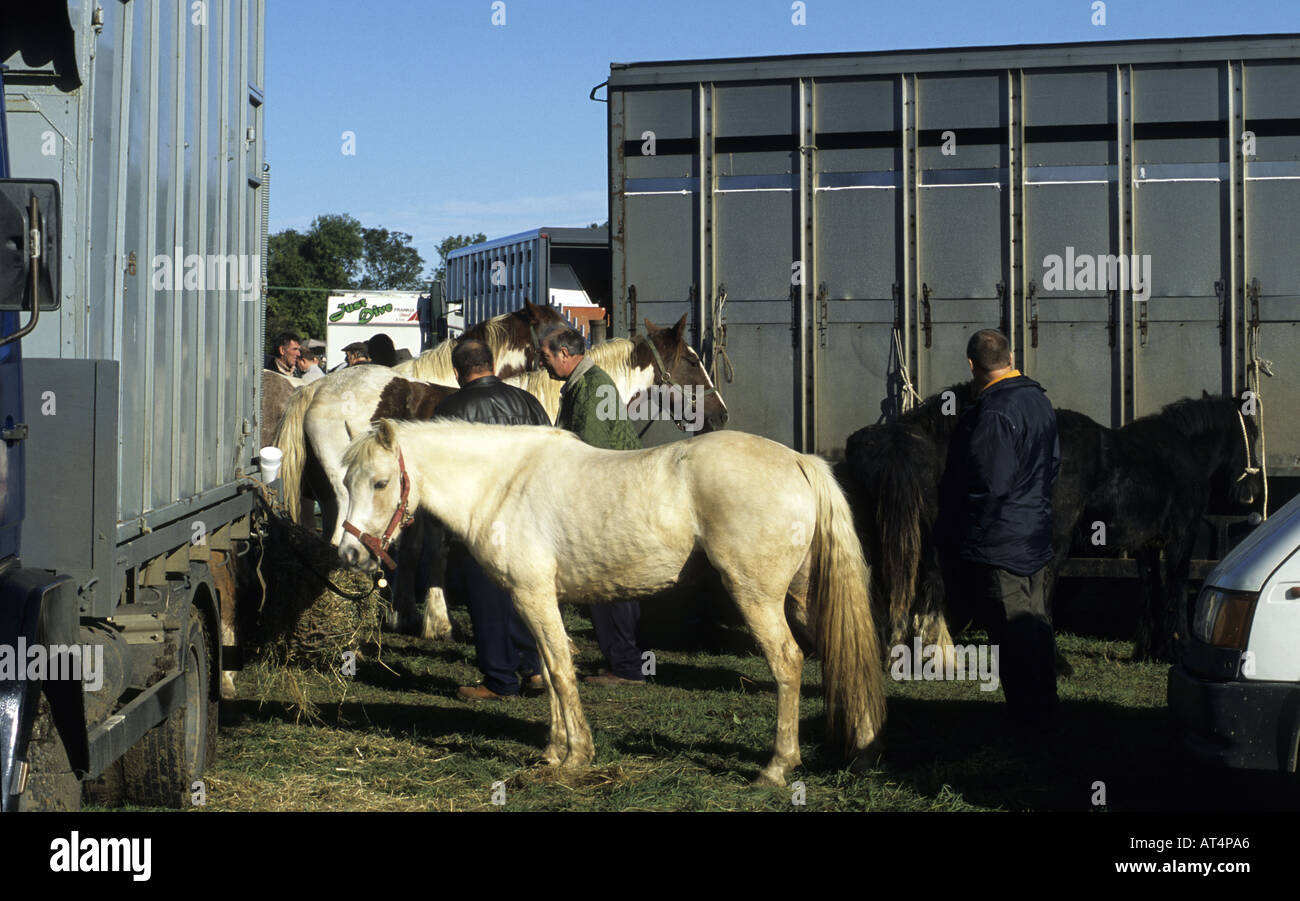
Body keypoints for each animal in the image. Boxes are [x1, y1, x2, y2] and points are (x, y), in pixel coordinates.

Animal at [335, 418, 883, 785]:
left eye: (381, 483)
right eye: (345, 482)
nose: (349, 553)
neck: (504, 483)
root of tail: (799, 461)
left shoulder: (534, 595)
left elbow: (560, 671)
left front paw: (576, 756)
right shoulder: (535, 599)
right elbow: (550, 669)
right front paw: (553, 752)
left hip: (757, 596)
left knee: (788, 662)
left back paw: (776, 767)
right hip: (805, 595)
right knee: (840, 655)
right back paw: (856, 748)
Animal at [842, 387, 1258, 660]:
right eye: (1251, 434)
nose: (1249, 495)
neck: (1181, 452)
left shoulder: (1145, 545)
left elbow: (1150, 589)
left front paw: (1147, 649)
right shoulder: (1180, 538)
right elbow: (1177, 586)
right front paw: (1176, 647)